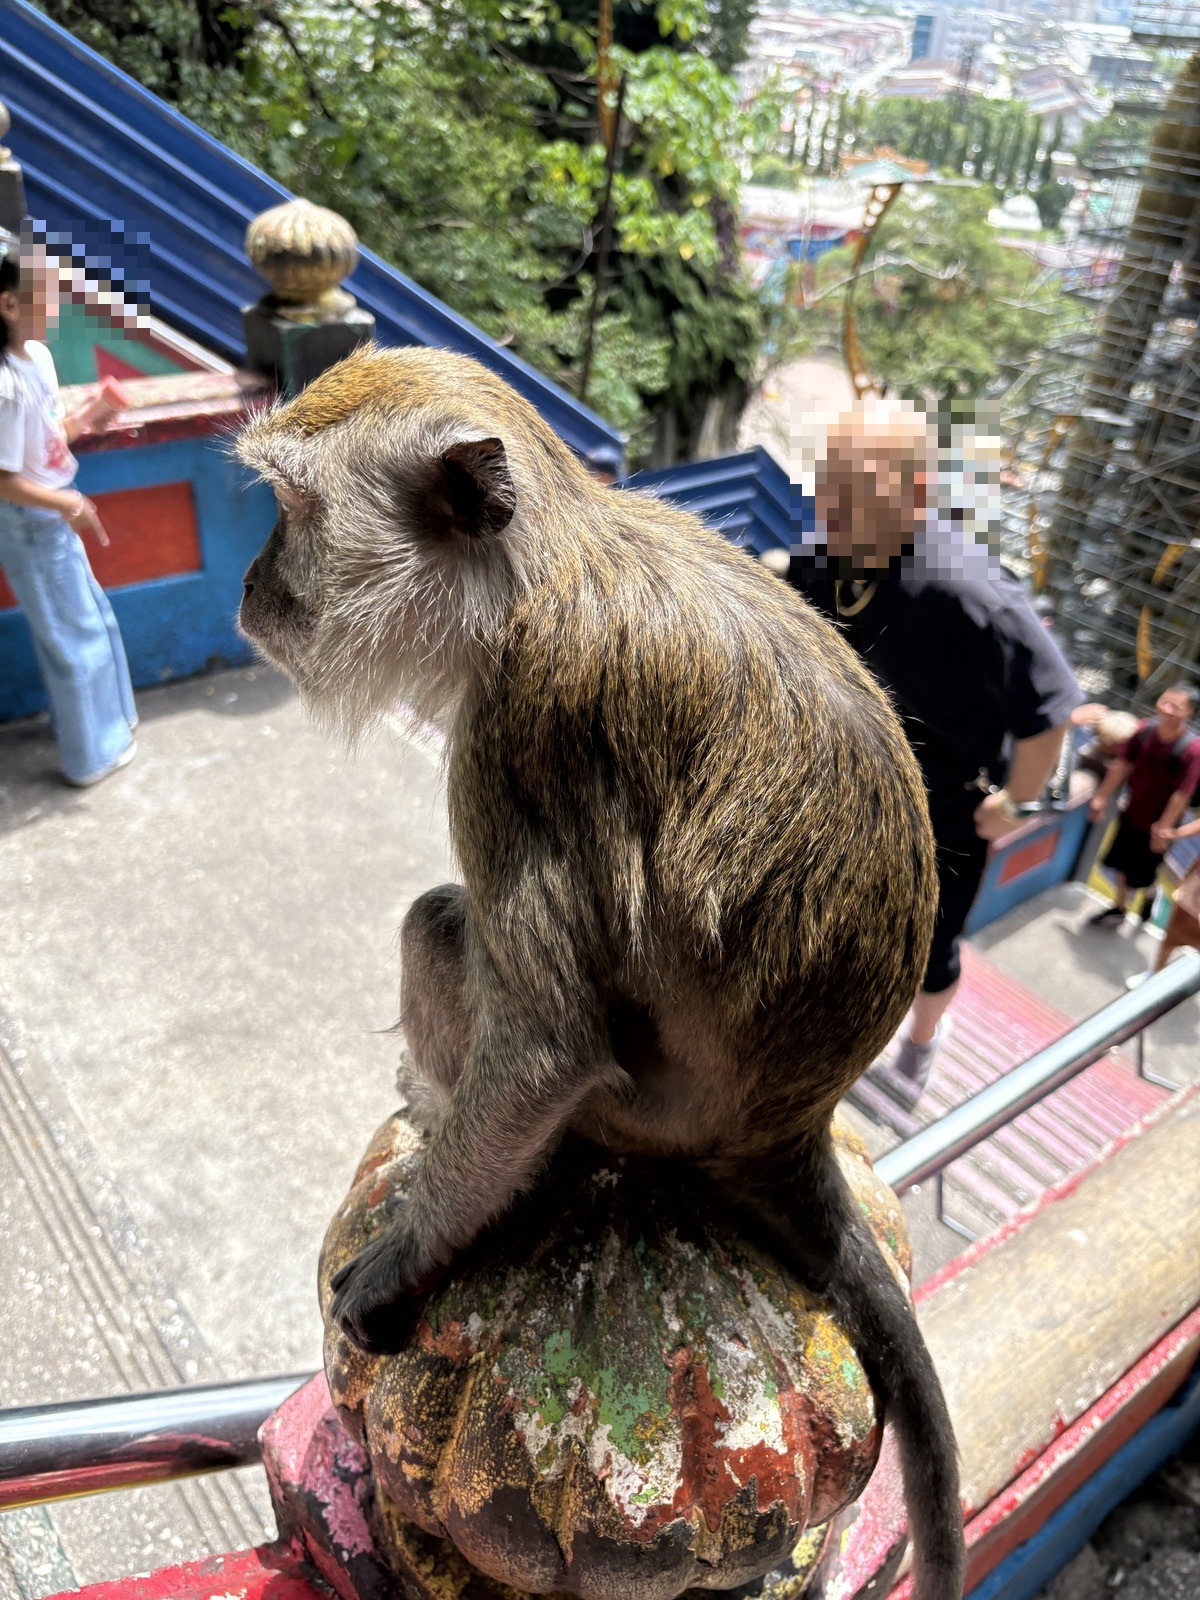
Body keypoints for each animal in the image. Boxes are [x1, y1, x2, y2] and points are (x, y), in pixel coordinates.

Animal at [236, 345, 965, 1600]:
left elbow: (546, 1049)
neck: (540, 566)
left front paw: (397, 1267)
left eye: (294, 512)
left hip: (640, 1117)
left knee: (445, 930)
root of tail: (792, 1126)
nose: (248, 586)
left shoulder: (519, 736)